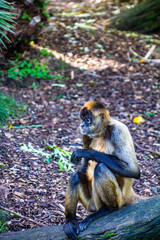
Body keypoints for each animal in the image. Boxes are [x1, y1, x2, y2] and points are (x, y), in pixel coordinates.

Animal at [64, 100, 141, 239]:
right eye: (82, 119)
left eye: (87, 120)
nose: (81, 125)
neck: (102, 132)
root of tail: (129, 194)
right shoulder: (86, 135)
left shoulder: (119, 130)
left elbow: (134, 171)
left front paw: (86, 152)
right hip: (91, 203)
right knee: (76, 176)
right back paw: (70, 220)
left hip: (119, 199)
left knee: (101, 167)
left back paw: (108, 209)